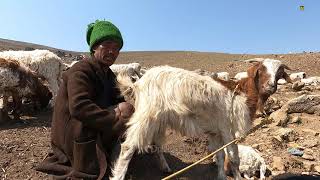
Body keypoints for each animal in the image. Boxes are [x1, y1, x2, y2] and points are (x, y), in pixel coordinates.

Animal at [111, 59, 292, 180]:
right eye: (261, 70)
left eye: (279, 73)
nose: (271, 86)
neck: (242, 93)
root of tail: (138, 83)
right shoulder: (228, 130)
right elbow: (234, 159)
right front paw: (236, 177)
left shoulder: (215, 132)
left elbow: (220, 157)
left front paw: (221, 177)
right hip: (146, 115)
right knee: (127, 147)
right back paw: (119, 175)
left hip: (159, 120)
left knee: (157, 144)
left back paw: (165, 168)